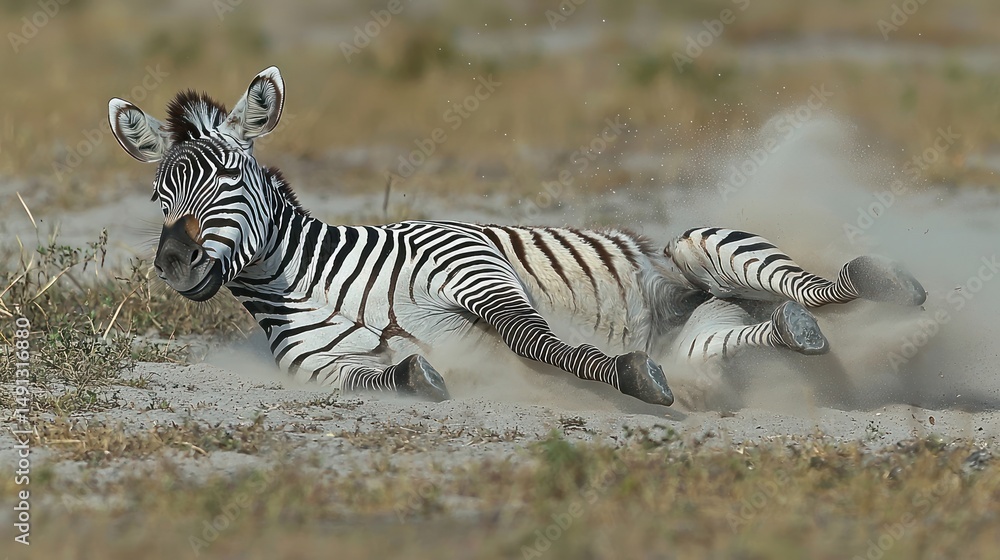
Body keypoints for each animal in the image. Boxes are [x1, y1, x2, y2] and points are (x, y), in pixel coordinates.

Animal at [107, 67, 926, 407]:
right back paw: (793, 331)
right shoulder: (323, 371)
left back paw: (886, 285)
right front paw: (420, 373)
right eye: (158, 197)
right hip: (704, 337)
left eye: (228, 178)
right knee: (773, 329)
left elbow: (535, 340)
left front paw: (621, 375)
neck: (319, 282)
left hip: (702, 244)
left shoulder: (474, 269)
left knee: (817, 288)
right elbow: (390, 377)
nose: (174, 262)